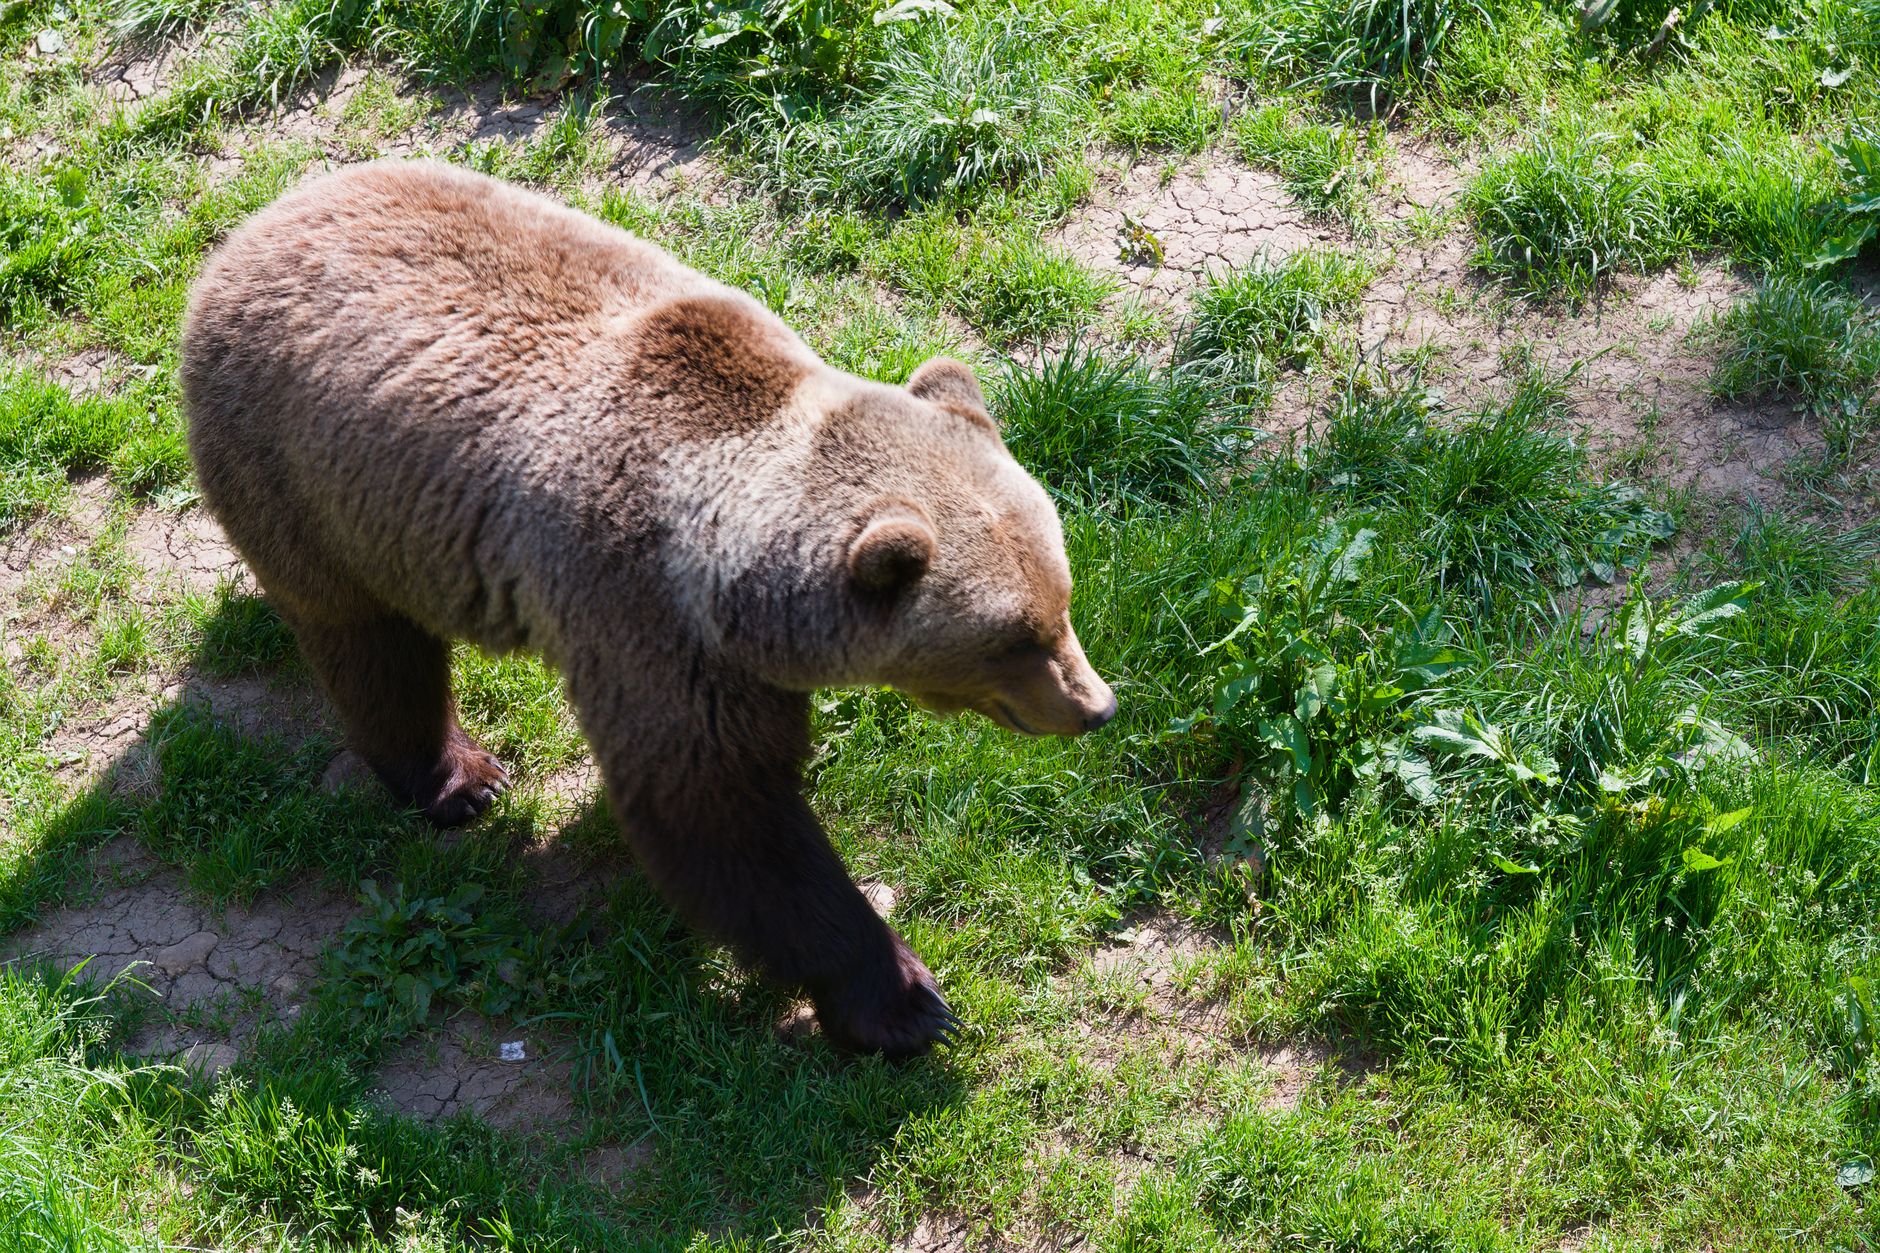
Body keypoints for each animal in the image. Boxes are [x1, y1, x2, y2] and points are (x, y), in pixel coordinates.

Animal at [180, 159, 1116, 1057]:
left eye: (1064, 600)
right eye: (1015, 637)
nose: (1096, 706)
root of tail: (241, 238)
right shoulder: (646, 614)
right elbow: (722, 817)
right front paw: (904, 1000)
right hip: (310, 481)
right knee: (372, 647)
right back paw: (461, 778)